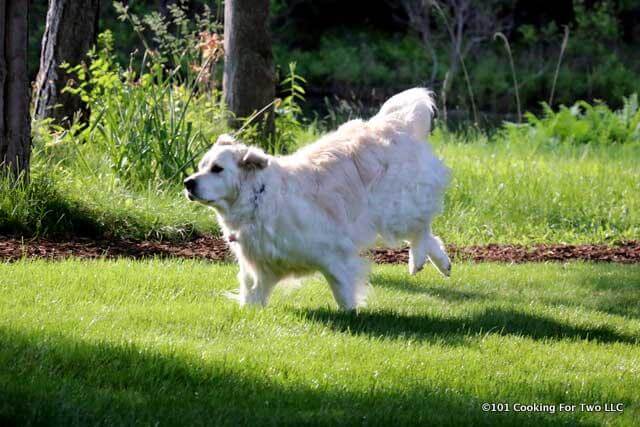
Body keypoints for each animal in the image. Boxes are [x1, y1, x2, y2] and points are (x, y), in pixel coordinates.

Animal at [184, 88, 450, 310]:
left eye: (217, 169)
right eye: (201, 167)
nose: (188, 182)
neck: (258, 198)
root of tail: (393, 124)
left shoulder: (333, 254)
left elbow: (342, 290)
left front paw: (351, 315)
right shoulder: (258, 269)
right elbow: (251, 297)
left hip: (396, 210)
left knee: (422, 229)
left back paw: (418, 260)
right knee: (427, 233)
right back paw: (439, 263)